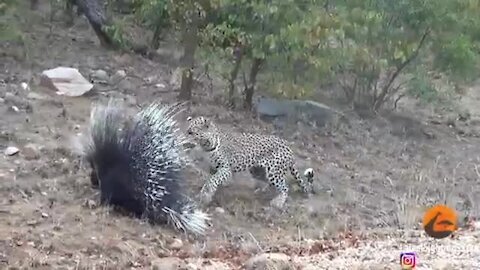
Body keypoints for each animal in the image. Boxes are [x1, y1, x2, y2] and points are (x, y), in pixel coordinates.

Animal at [185, 115, 316, 209]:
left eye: (192, 132)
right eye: (187, 131)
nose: (185, 137)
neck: (206, 145)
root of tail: (288, 146)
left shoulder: (225, 169)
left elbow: (213, 180)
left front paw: (206, 196)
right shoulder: (213, 168)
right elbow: (210, 181)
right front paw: (207, 194)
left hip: (274, 172)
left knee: (285, 187)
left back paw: (277, 203)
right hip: (258, 170)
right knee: (269, 182)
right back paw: (261, 191)